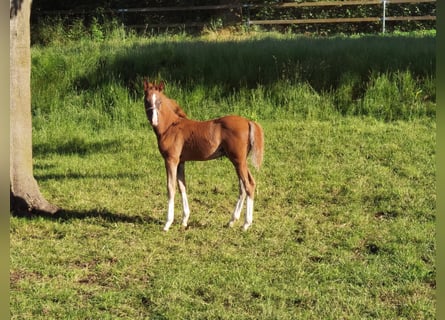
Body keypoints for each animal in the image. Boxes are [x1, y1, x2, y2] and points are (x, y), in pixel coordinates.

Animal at [143, 79, 264, 230]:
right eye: (147, 100)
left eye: (159, 101)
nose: (154, 121)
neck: (170, 127)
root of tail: (248, 121)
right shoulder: (181, 161)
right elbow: (182, 186)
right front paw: (184, 220)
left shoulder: (171, 160)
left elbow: (171, 187)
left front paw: (167, 223)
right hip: (239, 161)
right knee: (244, 186)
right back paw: (232, 221)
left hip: (238, 160)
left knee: (248, 185)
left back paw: (246, 224)